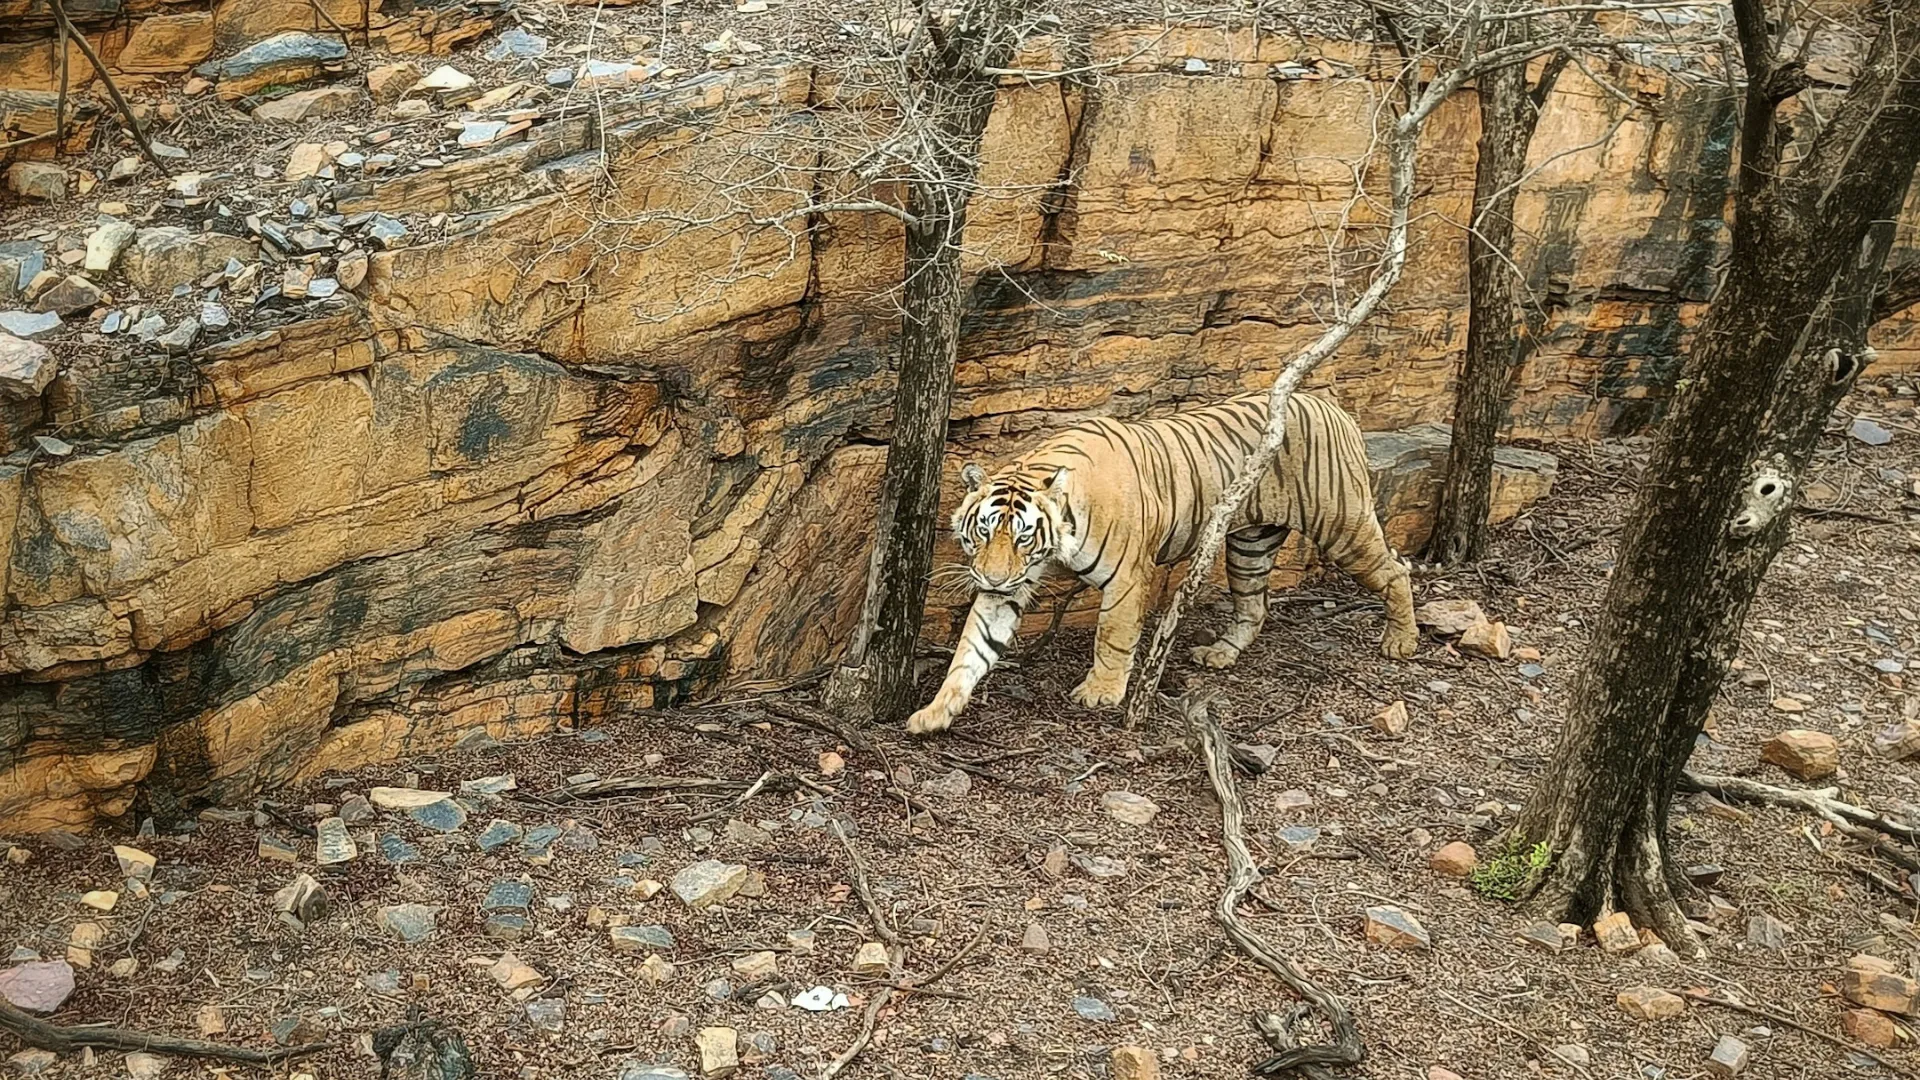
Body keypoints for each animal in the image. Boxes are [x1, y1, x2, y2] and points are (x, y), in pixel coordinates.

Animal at [906, 390, 1420, 734]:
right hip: (1250, 544)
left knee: (1396, 570)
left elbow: (1112, 638)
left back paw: (1401, 641)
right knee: (1255, 606)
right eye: (984, 531)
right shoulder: (1010, 586)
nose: (992, 578)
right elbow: (972, 650)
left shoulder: (1127, 579)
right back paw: (1220, 654)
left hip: (1342, 525)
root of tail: (1333, 405)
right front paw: (935, 712)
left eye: (1024, 536)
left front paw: (1101, 693)